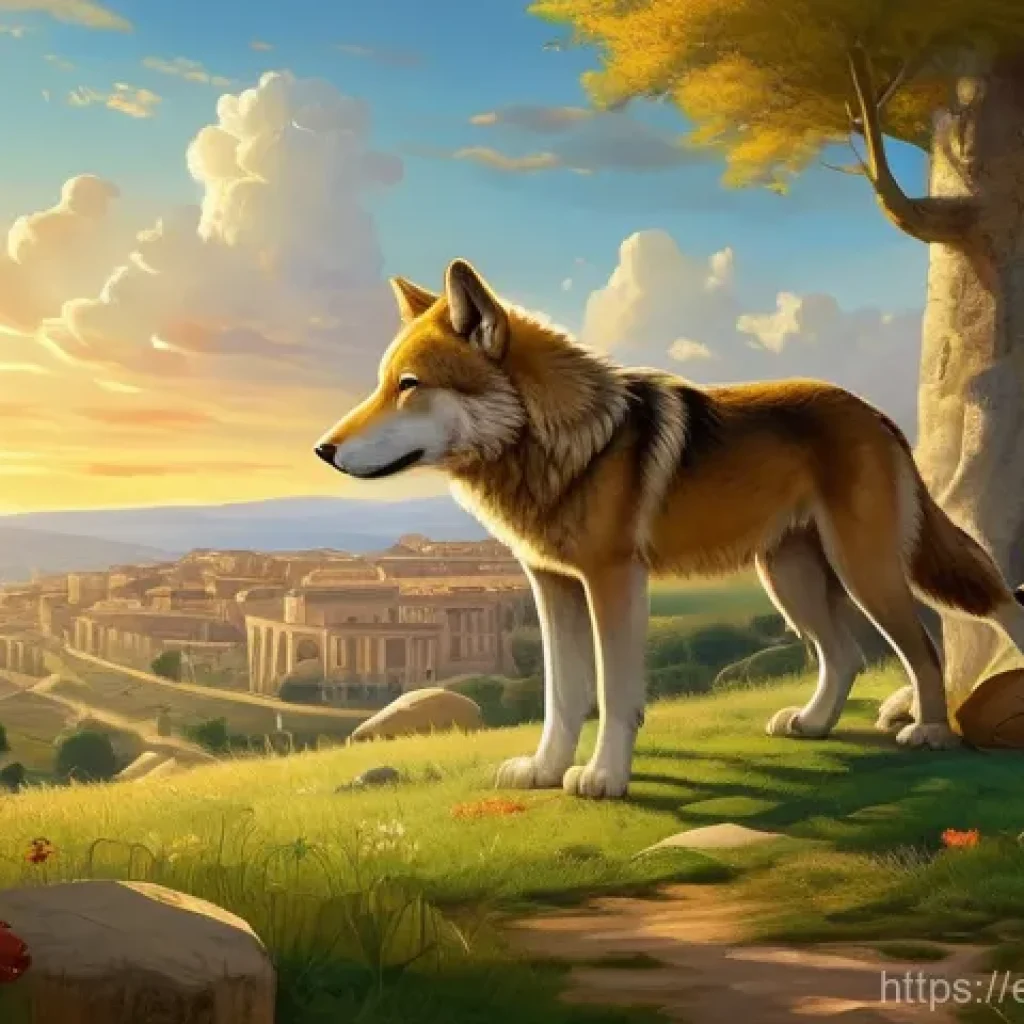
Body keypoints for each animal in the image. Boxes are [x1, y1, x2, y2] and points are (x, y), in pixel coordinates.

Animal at [314, 258, 1024, 799]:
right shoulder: (551, 585)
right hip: (788, 578)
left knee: (925, 647)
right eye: (383, 384)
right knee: (845, 654)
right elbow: (562, 693)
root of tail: (875, 413)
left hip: (864, 571)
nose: (322, 449)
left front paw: (602, 777)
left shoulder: (613, 581)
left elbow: (612, 691)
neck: (566, 443)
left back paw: (931, 732)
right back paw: (814, 724)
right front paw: (544, 769)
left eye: (410, 385)